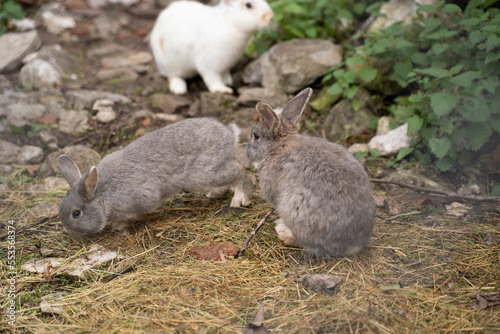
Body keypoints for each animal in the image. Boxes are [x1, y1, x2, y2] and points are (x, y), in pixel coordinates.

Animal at [58, 117, 252, 237]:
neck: (102, 195)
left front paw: (118, 227)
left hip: (207, 173)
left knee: (240, 171)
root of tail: (229, 134)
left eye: (76, 214)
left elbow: (130, 217)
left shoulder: (139, 199)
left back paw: (239, 199)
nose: (70, 232)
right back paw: (213, 194)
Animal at [246, 87, 376, 258]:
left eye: (255, 136)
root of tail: (353, 244)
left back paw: (283, 231)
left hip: (294, 207)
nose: (247, 152)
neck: (279, 146)